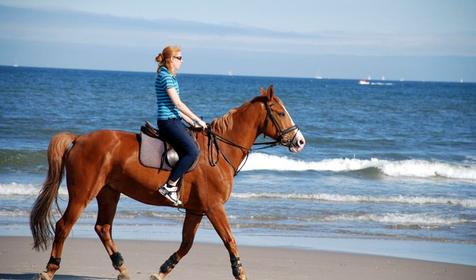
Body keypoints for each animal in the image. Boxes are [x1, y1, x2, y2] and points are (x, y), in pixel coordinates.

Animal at [30, 86, 304, 280]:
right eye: (281, 113)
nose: (300, 141)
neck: (219, 151)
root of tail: (78, 139)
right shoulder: (214, 207)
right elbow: (229, 240)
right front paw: (240, 272)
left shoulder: (196, 210)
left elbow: (186, 244)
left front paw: (162, 270)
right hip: (83, 194)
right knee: (64, 226)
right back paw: (50, 269)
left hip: (109, 193)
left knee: (103, 228)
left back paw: (122, 268)